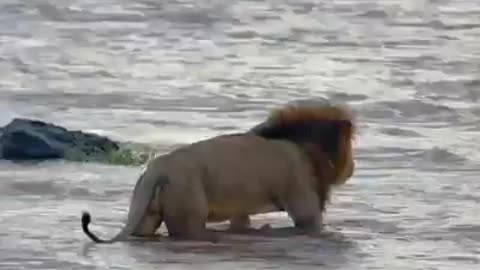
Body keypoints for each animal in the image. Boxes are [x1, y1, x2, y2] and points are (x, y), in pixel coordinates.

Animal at [80, 102, 354, 244]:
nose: (353, 168)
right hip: (189, 212)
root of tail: (156, 169)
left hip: (146, 215)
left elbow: (241, 222)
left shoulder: (241, 209)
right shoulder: (304, 204)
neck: (302, 145)